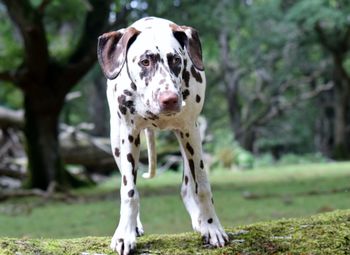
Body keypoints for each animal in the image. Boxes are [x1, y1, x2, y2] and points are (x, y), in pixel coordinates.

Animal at [97, 16, 228, 255]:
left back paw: (199, 219)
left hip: (187, 140)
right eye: (144, 62)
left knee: (188, 185)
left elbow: (202, 187)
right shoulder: (129, 134)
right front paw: (125, 233)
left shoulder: (190, 131)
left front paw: (211, 225)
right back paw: (134, 225)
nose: (170, 99)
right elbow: (129, 191)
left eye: (176, 60)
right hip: (116, 141)